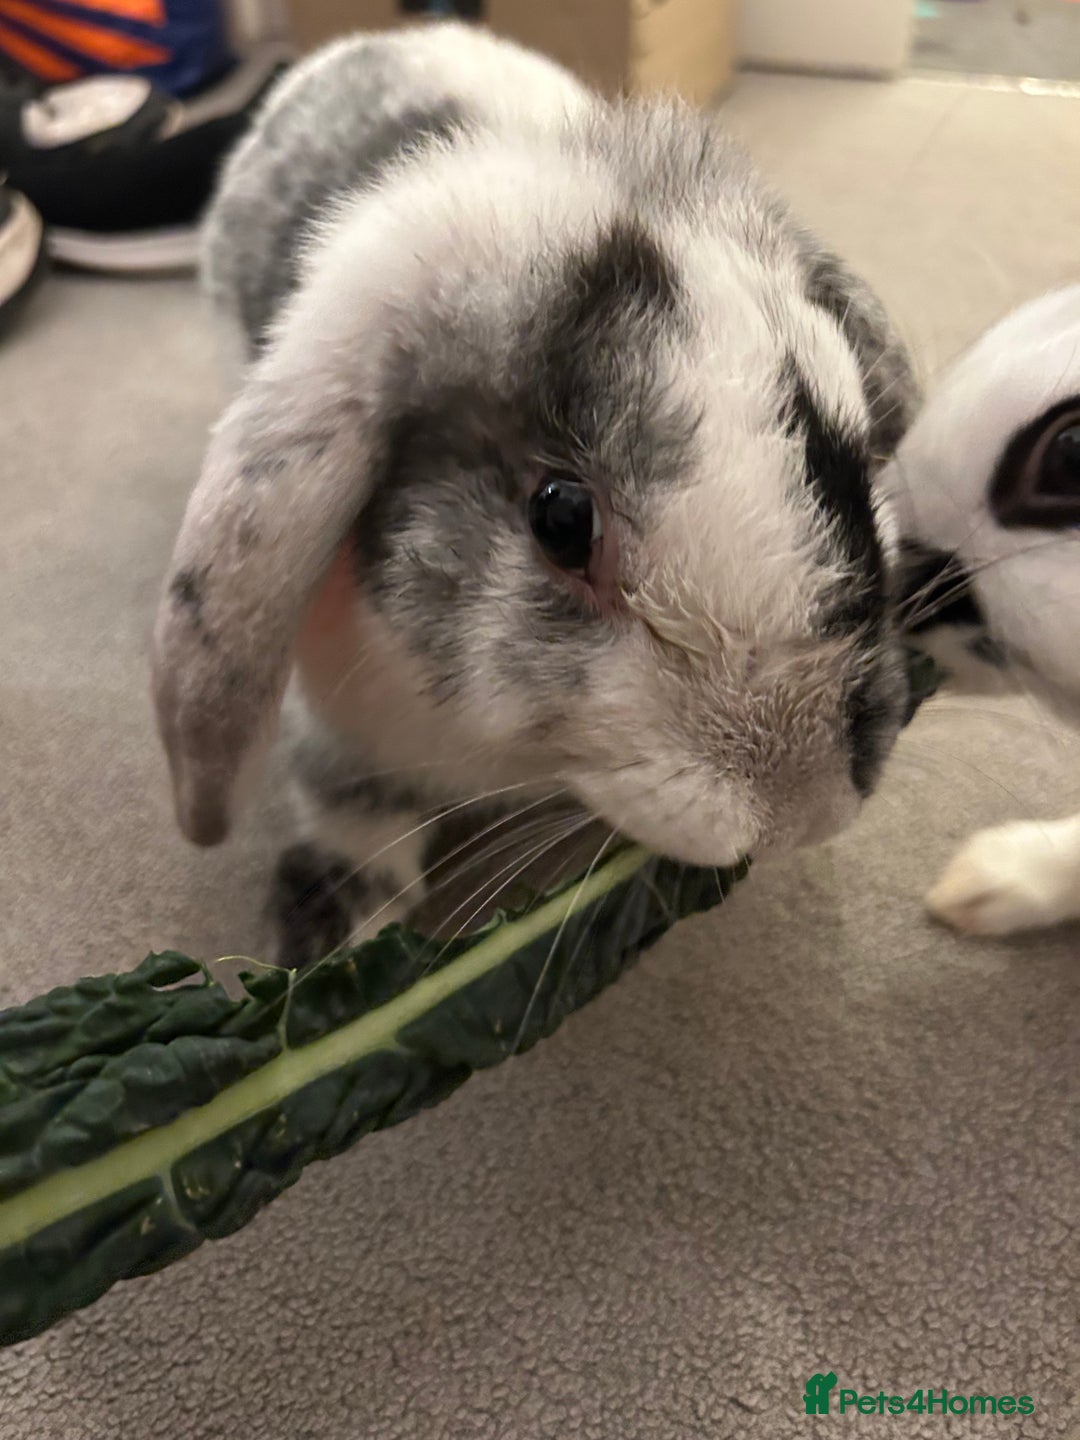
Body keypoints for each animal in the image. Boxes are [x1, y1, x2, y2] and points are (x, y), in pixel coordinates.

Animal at [151, 23, 921, 967]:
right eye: (560, 517)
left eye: (851, 457)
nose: (800, 810)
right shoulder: (340, 739)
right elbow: (352, 818)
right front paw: (330, 936)